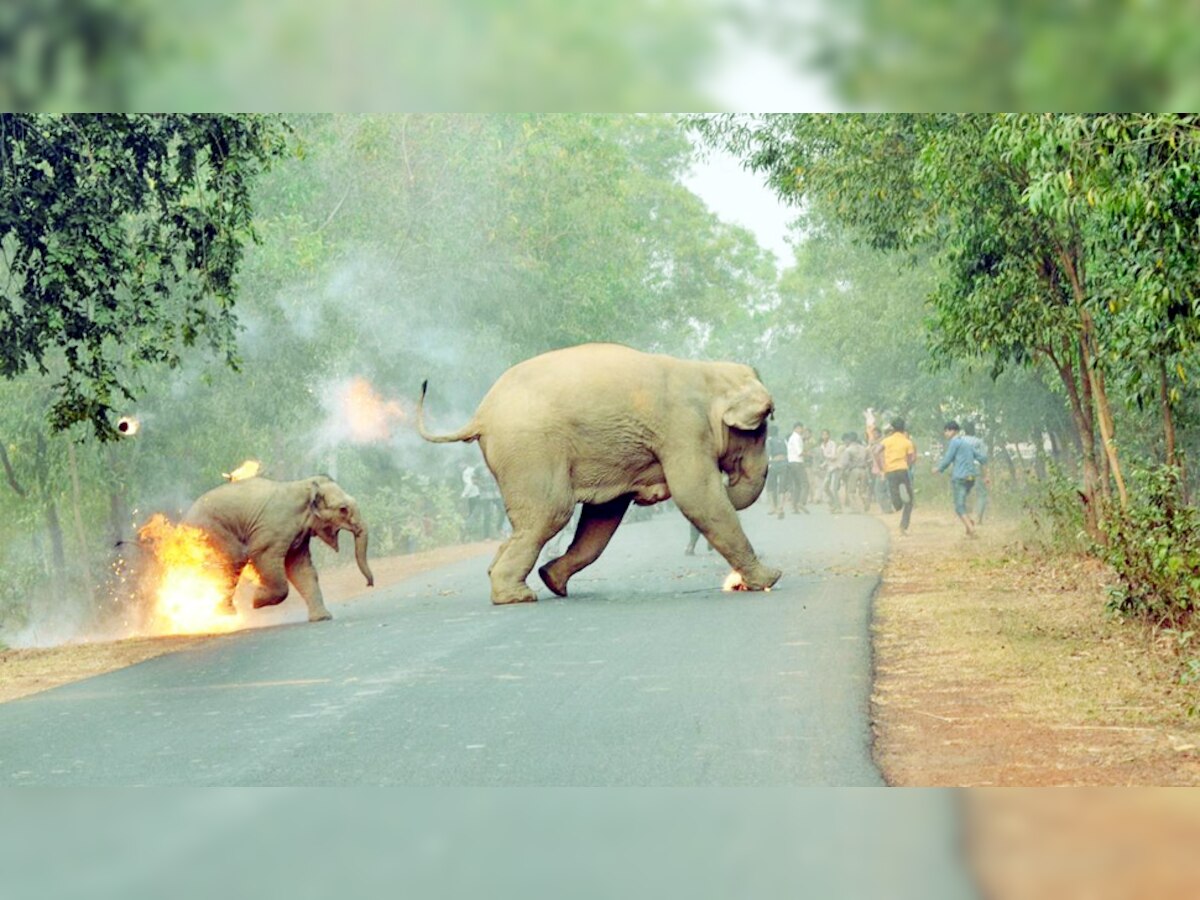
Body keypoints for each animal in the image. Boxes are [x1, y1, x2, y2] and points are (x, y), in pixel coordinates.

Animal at [180, 475, 369, 624]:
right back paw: (225, 615)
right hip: (214, 532)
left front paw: (323, 618)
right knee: (232, 563)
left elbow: (301, 568)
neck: (305, 485)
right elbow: (264, 557)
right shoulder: (273, 530)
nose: (369, 584)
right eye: (343, 509)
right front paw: (256, 601)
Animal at [417, 343, 782, 607]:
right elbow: (698, 497)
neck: (707, 372)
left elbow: (604, 516)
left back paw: (529, 582)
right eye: (761, 428)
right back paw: (516, 597)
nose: (731, 482)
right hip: (530, 449)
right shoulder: (683, 430)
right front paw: (770, 579)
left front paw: (552, 578)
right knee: (551, 513)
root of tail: (481, 415)